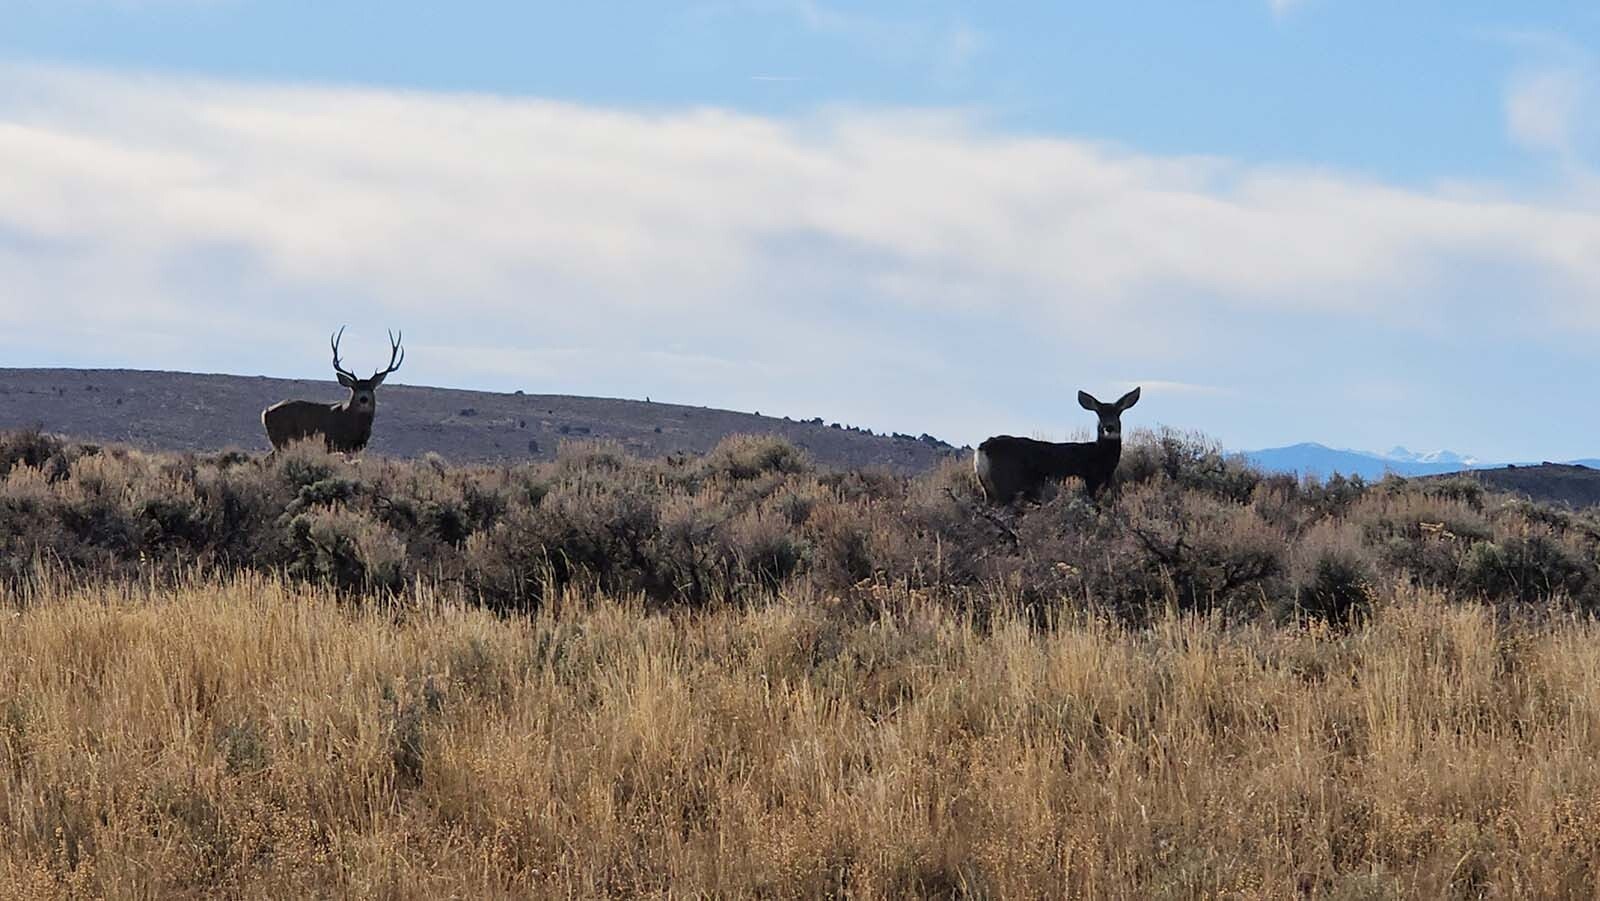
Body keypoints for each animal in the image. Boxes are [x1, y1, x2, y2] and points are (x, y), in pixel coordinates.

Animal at [261, 327, 405, 453]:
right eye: (354, 388)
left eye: (371, 388)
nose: (363, 398)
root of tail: (265, 412)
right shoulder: (330, 443)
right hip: (282, 439)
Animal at [974, 387, 1141, 504]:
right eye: (1099, 414)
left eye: (1118, 413)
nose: (1109, 427)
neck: (1099, 456)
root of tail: (982, 449)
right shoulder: (1090, 481)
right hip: (1005, 485)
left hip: (988, 491)